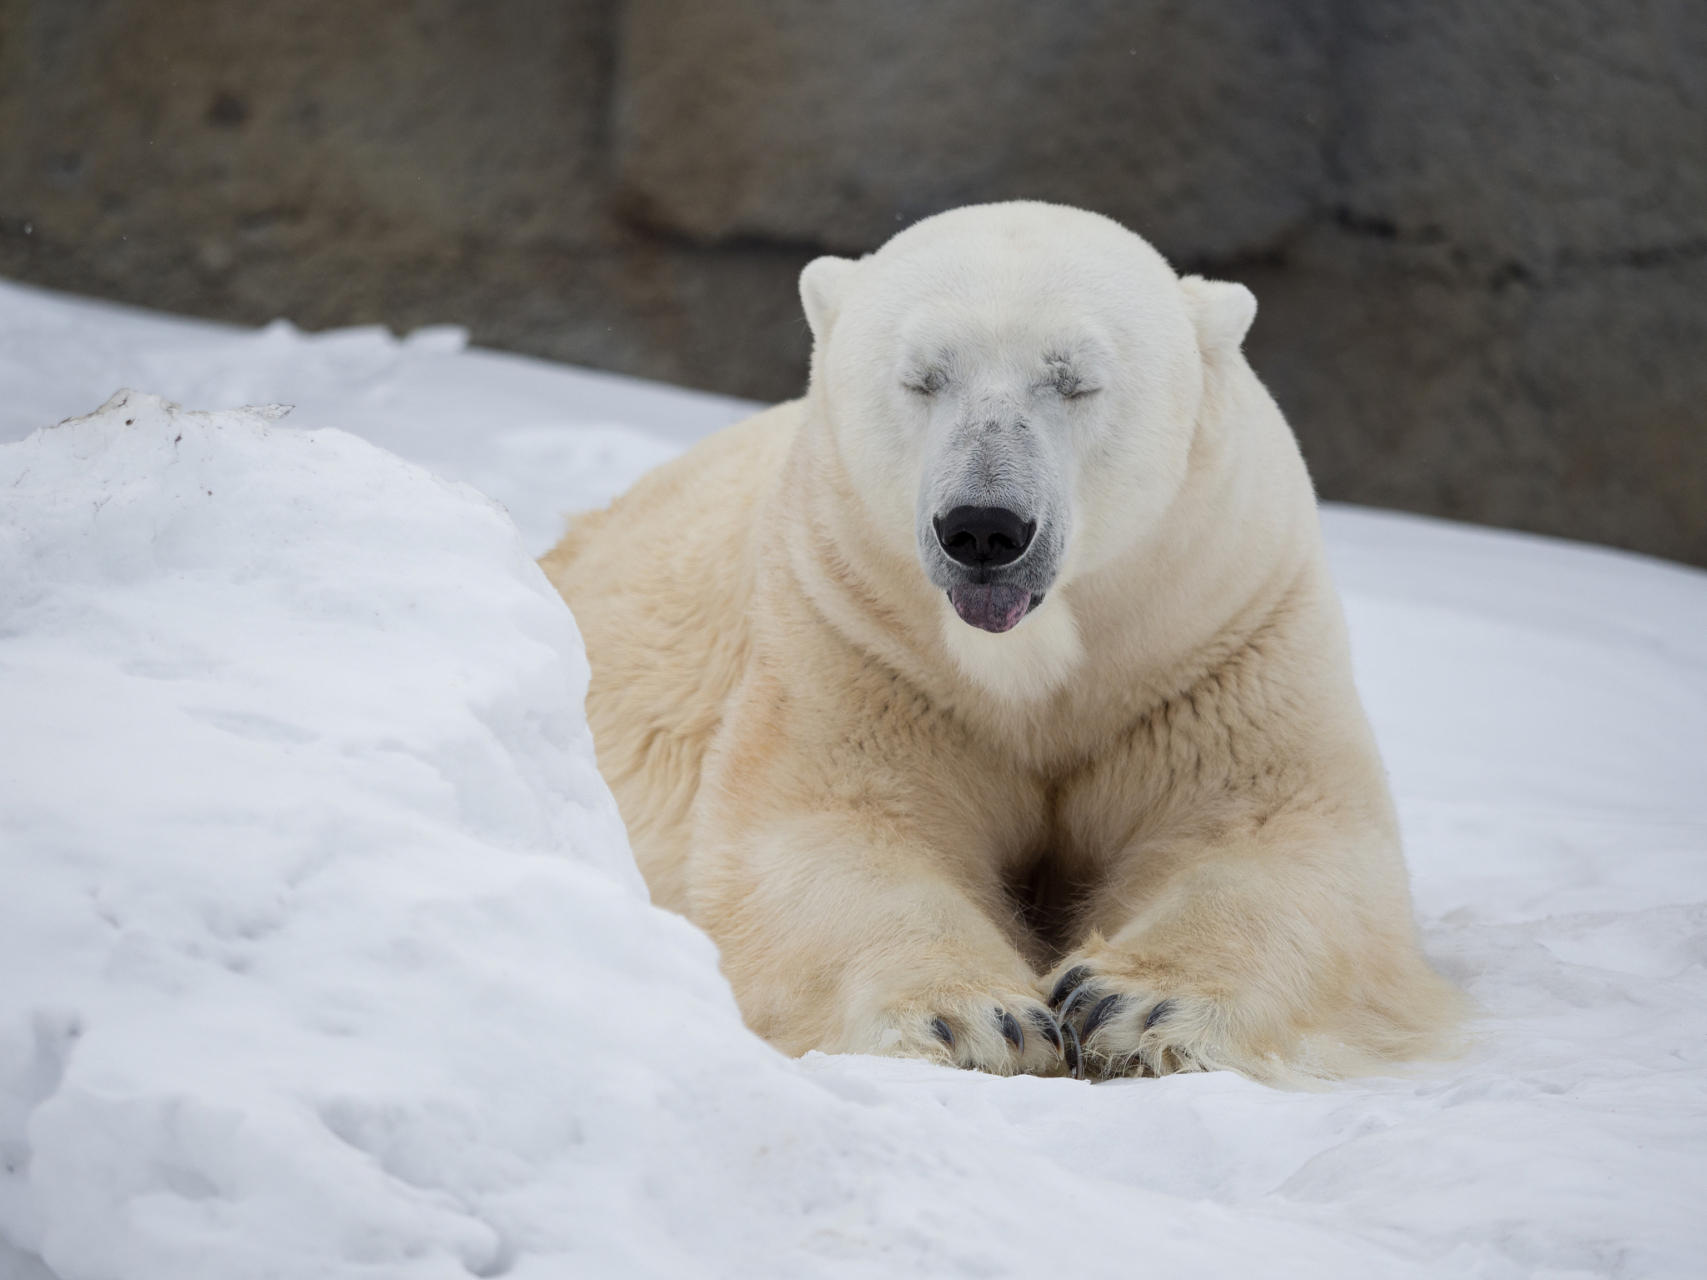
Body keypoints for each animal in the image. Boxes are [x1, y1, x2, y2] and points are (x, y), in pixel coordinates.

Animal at [539, 200, 1461, 1085]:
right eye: (922, 377)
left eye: (1075, 381)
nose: (983, 527)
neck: (1033, 668)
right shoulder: (853, 636)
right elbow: (833, 829)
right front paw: (981, 1022)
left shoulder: (1216, 631)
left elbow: (1278, 830)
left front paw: (1128, 1007)